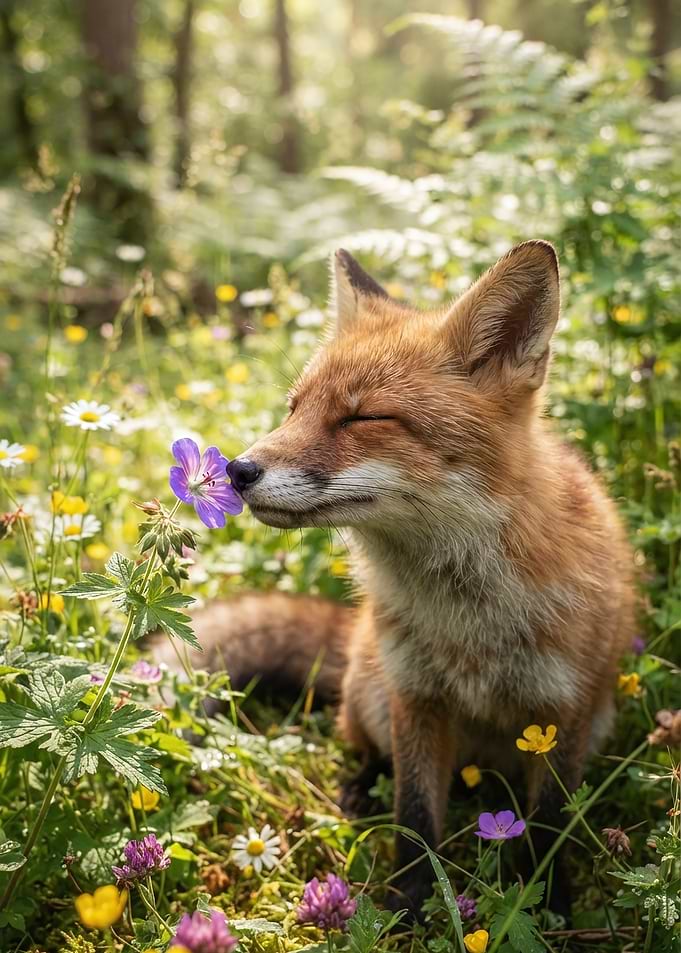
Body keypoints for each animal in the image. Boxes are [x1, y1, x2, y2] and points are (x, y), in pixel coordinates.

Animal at [155, 241, 636, 917]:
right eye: (294, 408)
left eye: (363, 418)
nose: (238, 470)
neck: (468, 619)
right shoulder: (416, 697)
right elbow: (414, 815)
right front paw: (408, 906)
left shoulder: (561, 715)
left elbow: (546, 827)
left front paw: (547, 907)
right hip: (376, 697)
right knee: (365, 747)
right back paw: (360, 787)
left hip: (594, 725)